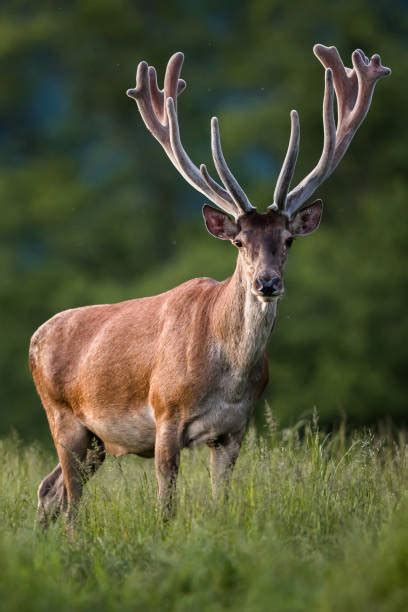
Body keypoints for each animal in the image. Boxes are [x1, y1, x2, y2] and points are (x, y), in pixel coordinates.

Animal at [29, 44, 388, 524]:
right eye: (239, 241)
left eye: (288, 239)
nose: (267, 282)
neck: (227, 376)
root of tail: (34, 338)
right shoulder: (165, 413)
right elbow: (166, 504)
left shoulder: (234, 430)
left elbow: (223, 501)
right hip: (62, 416)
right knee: (69, 501)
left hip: (97, 440)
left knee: (49, 490)